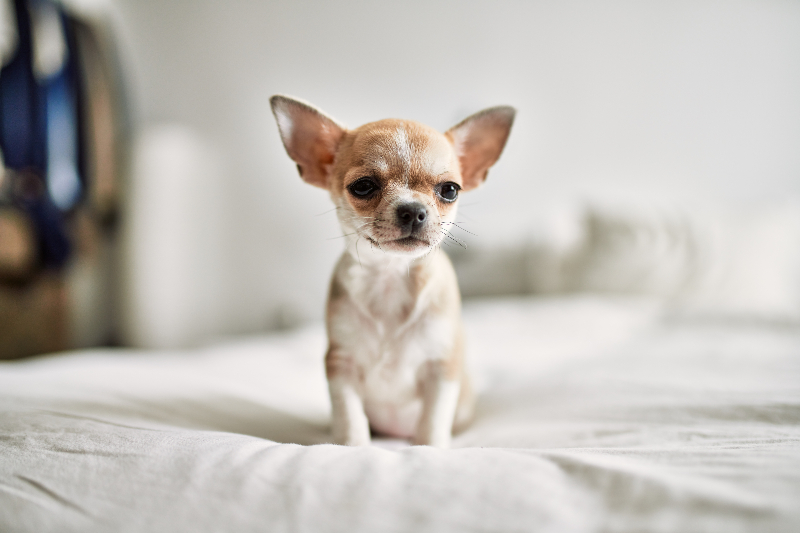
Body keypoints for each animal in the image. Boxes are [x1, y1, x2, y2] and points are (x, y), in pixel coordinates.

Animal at [272, 94, 516, 444]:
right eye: (362, 186)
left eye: (450, 190)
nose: (412, 210)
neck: (391, 276)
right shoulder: (341, 365)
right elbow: (350, 417)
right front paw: (352, 446)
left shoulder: (442, 367)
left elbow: (432, 421)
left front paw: (428, 448)